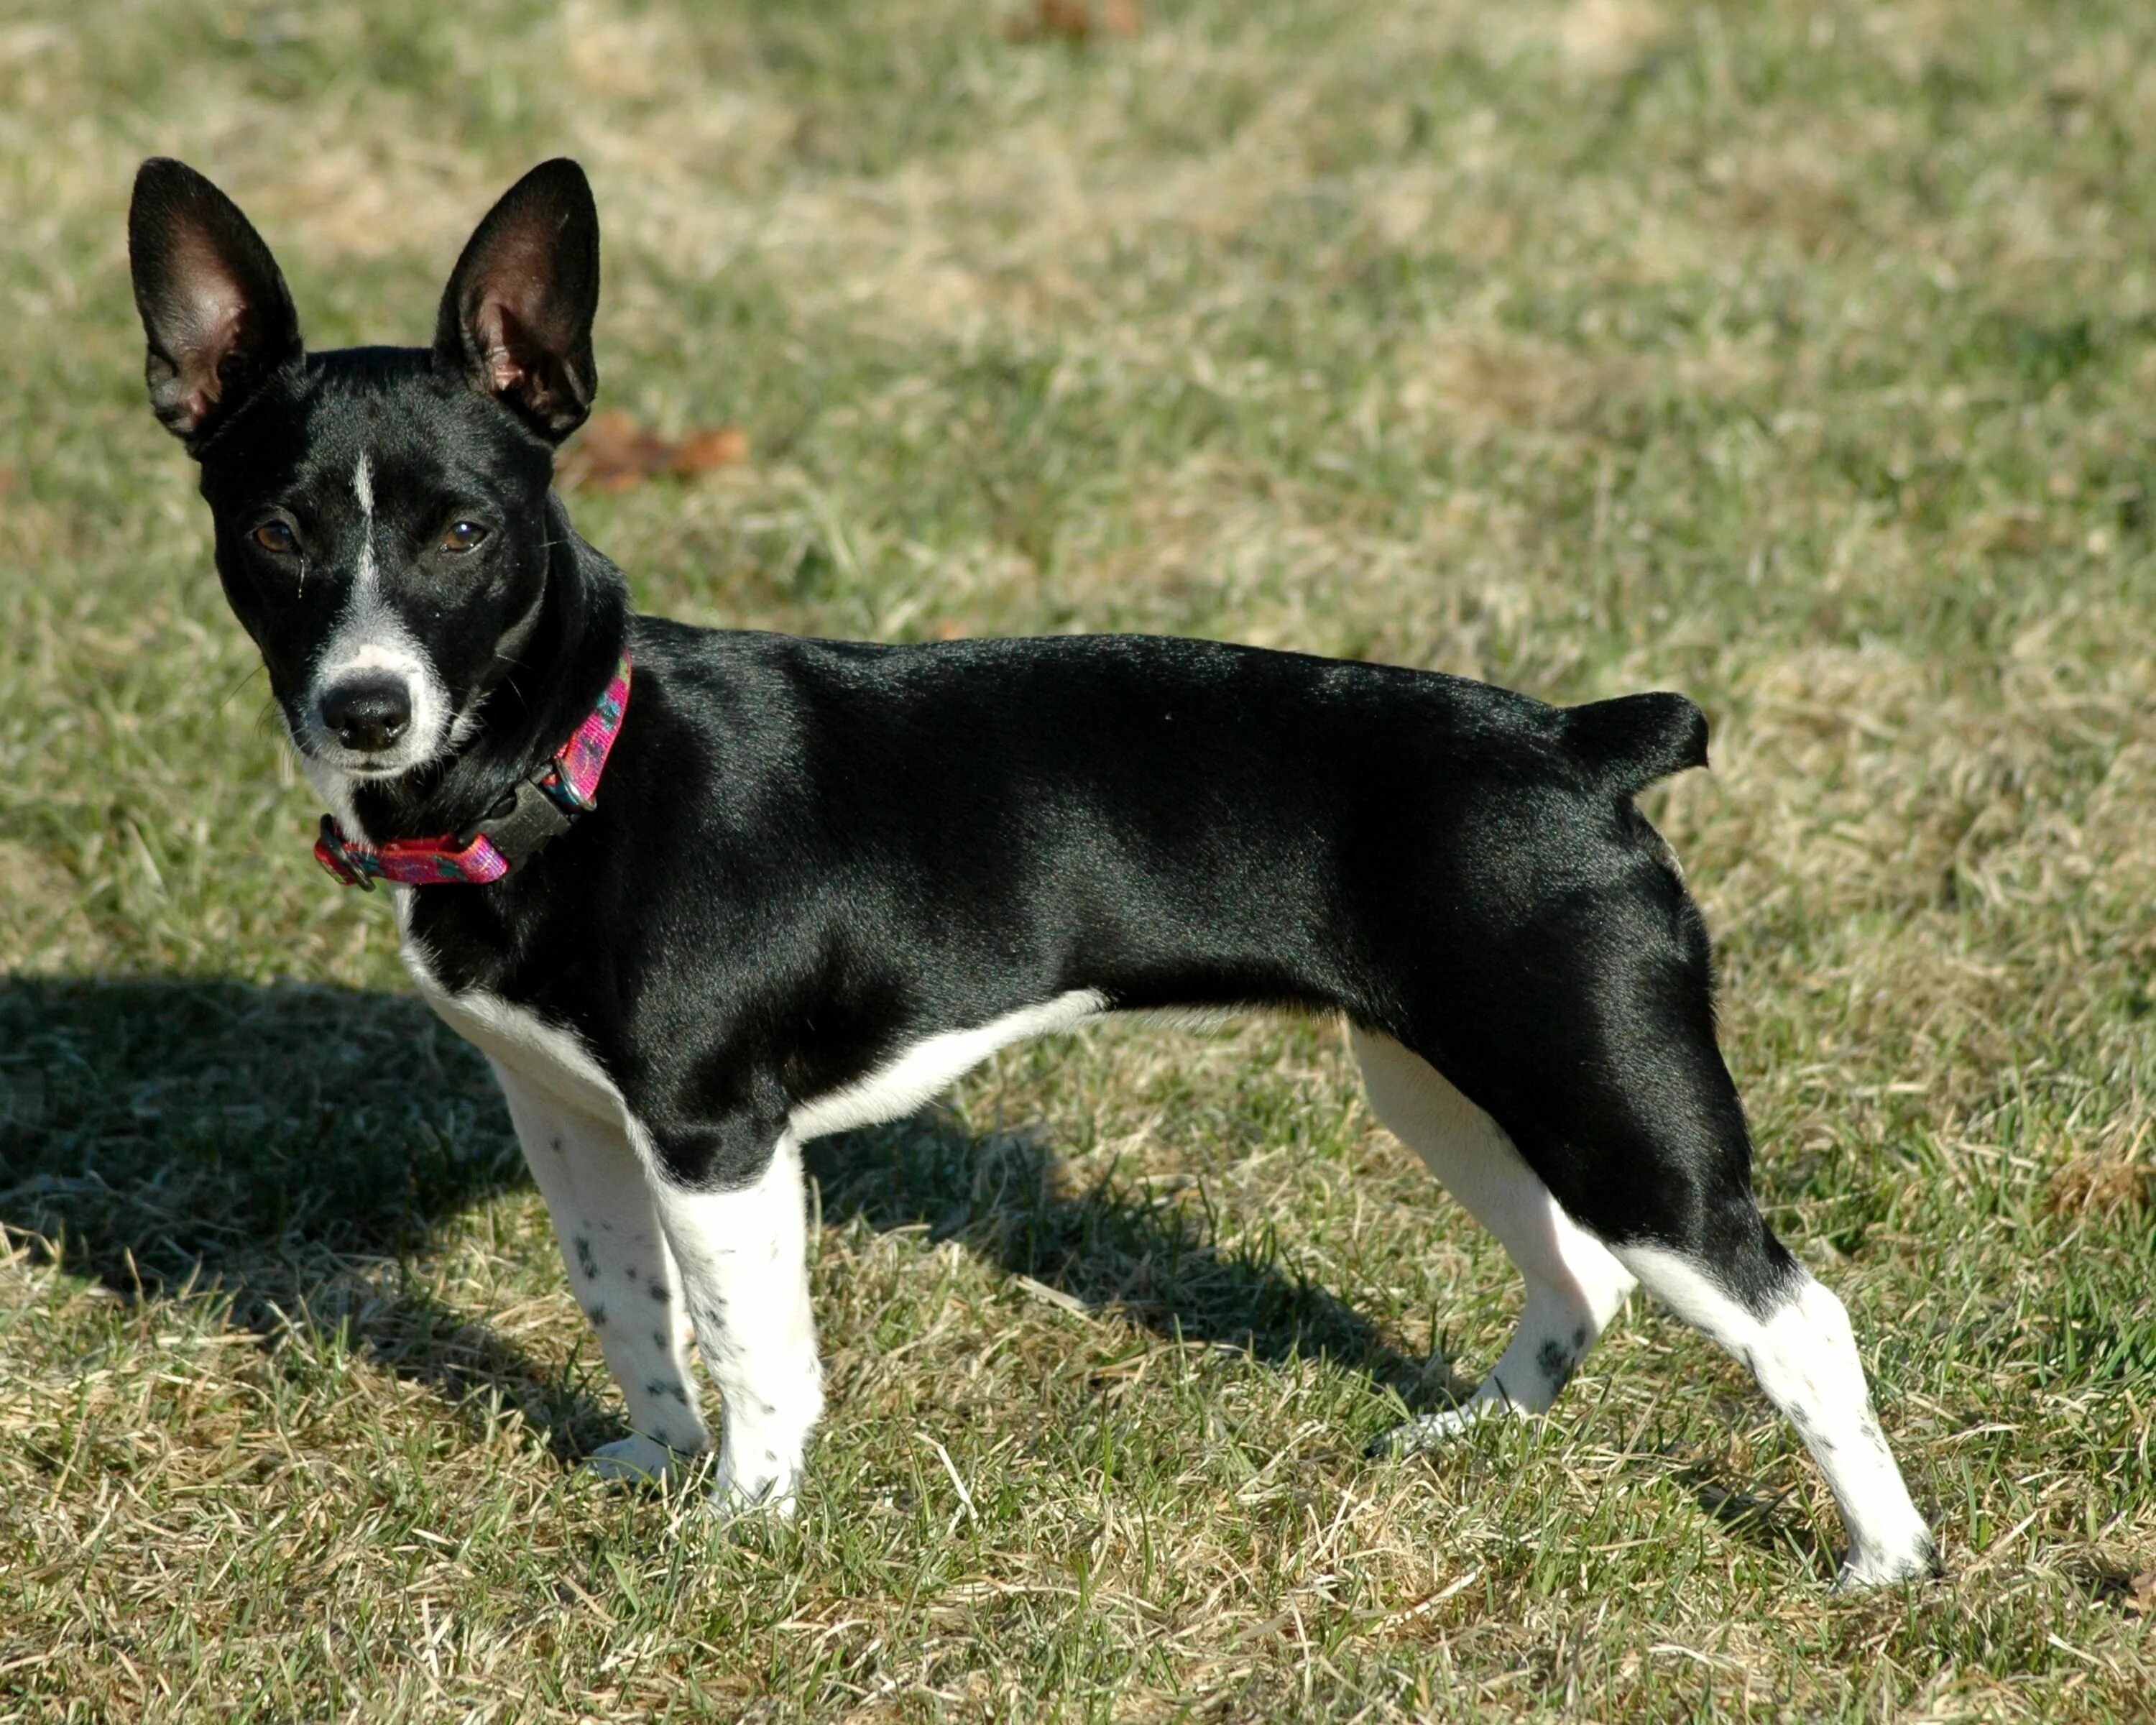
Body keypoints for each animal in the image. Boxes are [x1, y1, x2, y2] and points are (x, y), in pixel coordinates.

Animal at [118, 155, 1940, 1587]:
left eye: (463, 533)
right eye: (274, 533)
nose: (364, 704)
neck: (580, 765)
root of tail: (1581, 742)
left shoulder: (716, 1139)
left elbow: (755, 1348)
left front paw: (742, 1529)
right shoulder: (568, 1116)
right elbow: (628, 1308)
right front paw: (655, 1465)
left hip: (1613, 1113)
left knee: (1795, 1319)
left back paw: (1883, 1561)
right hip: (1447, 1083)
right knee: (1579, 1275)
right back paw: (1469, 1433)